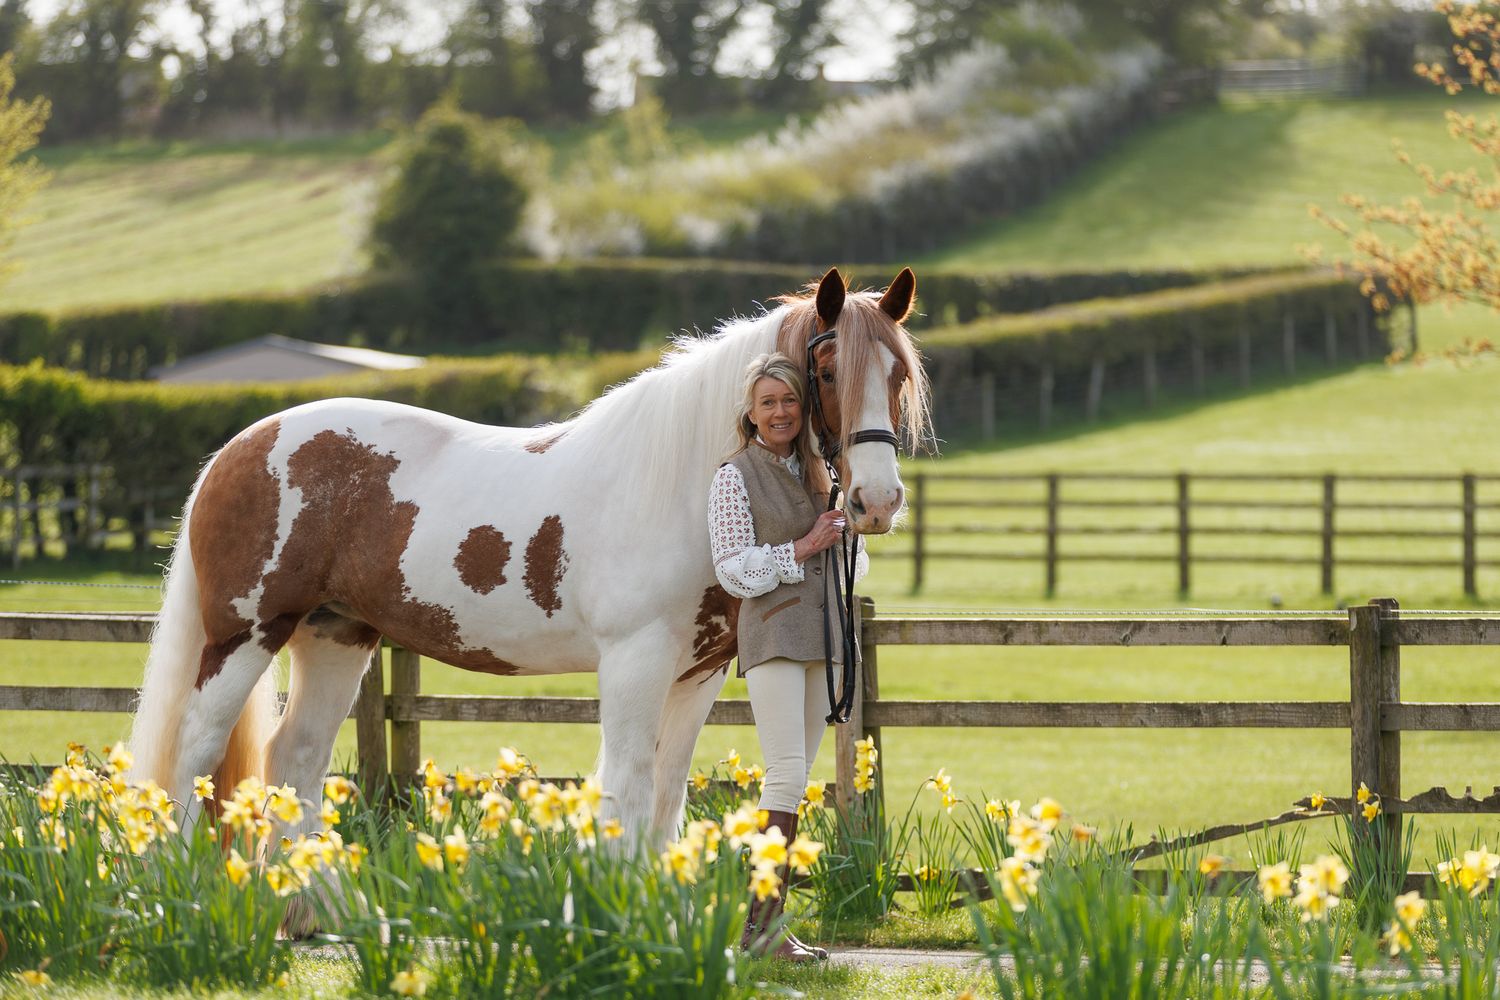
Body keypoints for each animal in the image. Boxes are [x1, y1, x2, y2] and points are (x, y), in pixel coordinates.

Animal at [125, 266, 931, 848]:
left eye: (897, 375)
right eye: (826, 373)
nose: (877, 501)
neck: (681, 481)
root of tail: (239, 447)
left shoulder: (697, 670)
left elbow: (668, 793)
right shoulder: (635, 661)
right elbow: (628, 787)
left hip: (335, 636)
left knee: (296, 758)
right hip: (247, 633)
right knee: (194, 751)